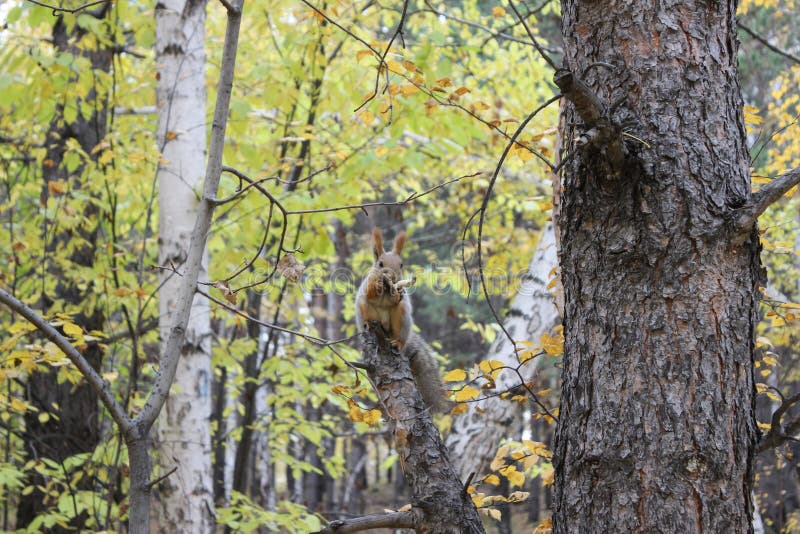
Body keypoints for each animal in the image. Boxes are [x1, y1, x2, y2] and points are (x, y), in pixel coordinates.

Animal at [355, 228, 450, 413]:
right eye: (380, 264)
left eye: (401, 265)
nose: (391, 276)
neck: (387, 288)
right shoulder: (367, 284)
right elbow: (370, 292)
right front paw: (378, 284)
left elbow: (396, 299)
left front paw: (397, 292)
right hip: (365, 310)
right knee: (367, 309)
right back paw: (369, 324)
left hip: (401, 318)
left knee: (399, 329)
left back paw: (397, 343)